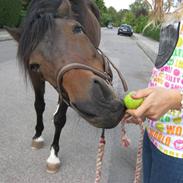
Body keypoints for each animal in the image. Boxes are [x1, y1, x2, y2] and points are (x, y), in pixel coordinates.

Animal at [6, 0, 126, 173]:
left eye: (78, 29)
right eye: (34, 65)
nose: (101, 105)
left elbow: (59, 119)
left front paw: (53, 155)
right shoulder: (37, 78)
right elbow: (39, 106)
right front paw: (37, 135)